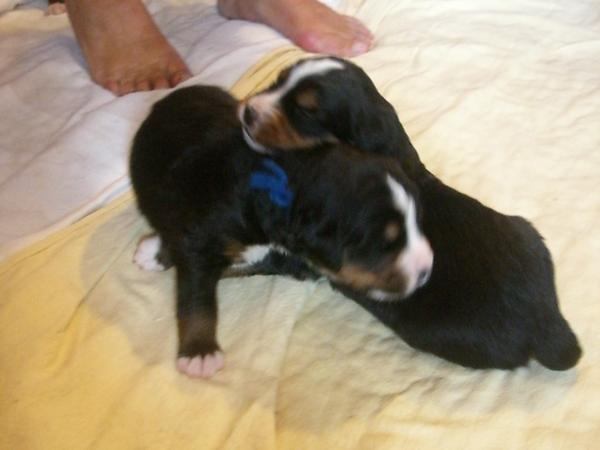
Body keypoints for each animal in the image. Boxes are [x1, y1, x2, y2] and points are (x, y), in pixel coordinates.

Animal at [130, 85, 433, 378]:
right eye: (384, 245)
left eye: (417, 220)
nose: (426, 270)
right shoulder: (204, 237)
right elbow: (197, 296)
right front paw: (199, 353)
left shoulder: (280, 257)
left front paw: (157, 252)